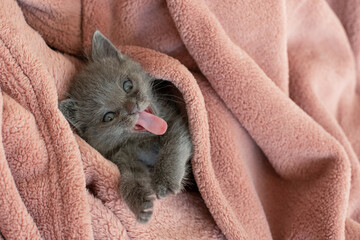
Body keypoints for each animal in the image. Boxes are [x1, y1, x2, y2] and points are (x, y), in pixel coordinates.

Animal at [59, 31, 193, 224]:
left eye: (127, 85)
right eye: (108, 117)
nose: (132, 108)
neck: (143, 143)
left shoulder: (175, 121)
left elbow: (174, 146)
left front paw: (165, 180)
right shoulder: (122, 155)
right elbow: (130, 175)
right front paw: (140, 202)